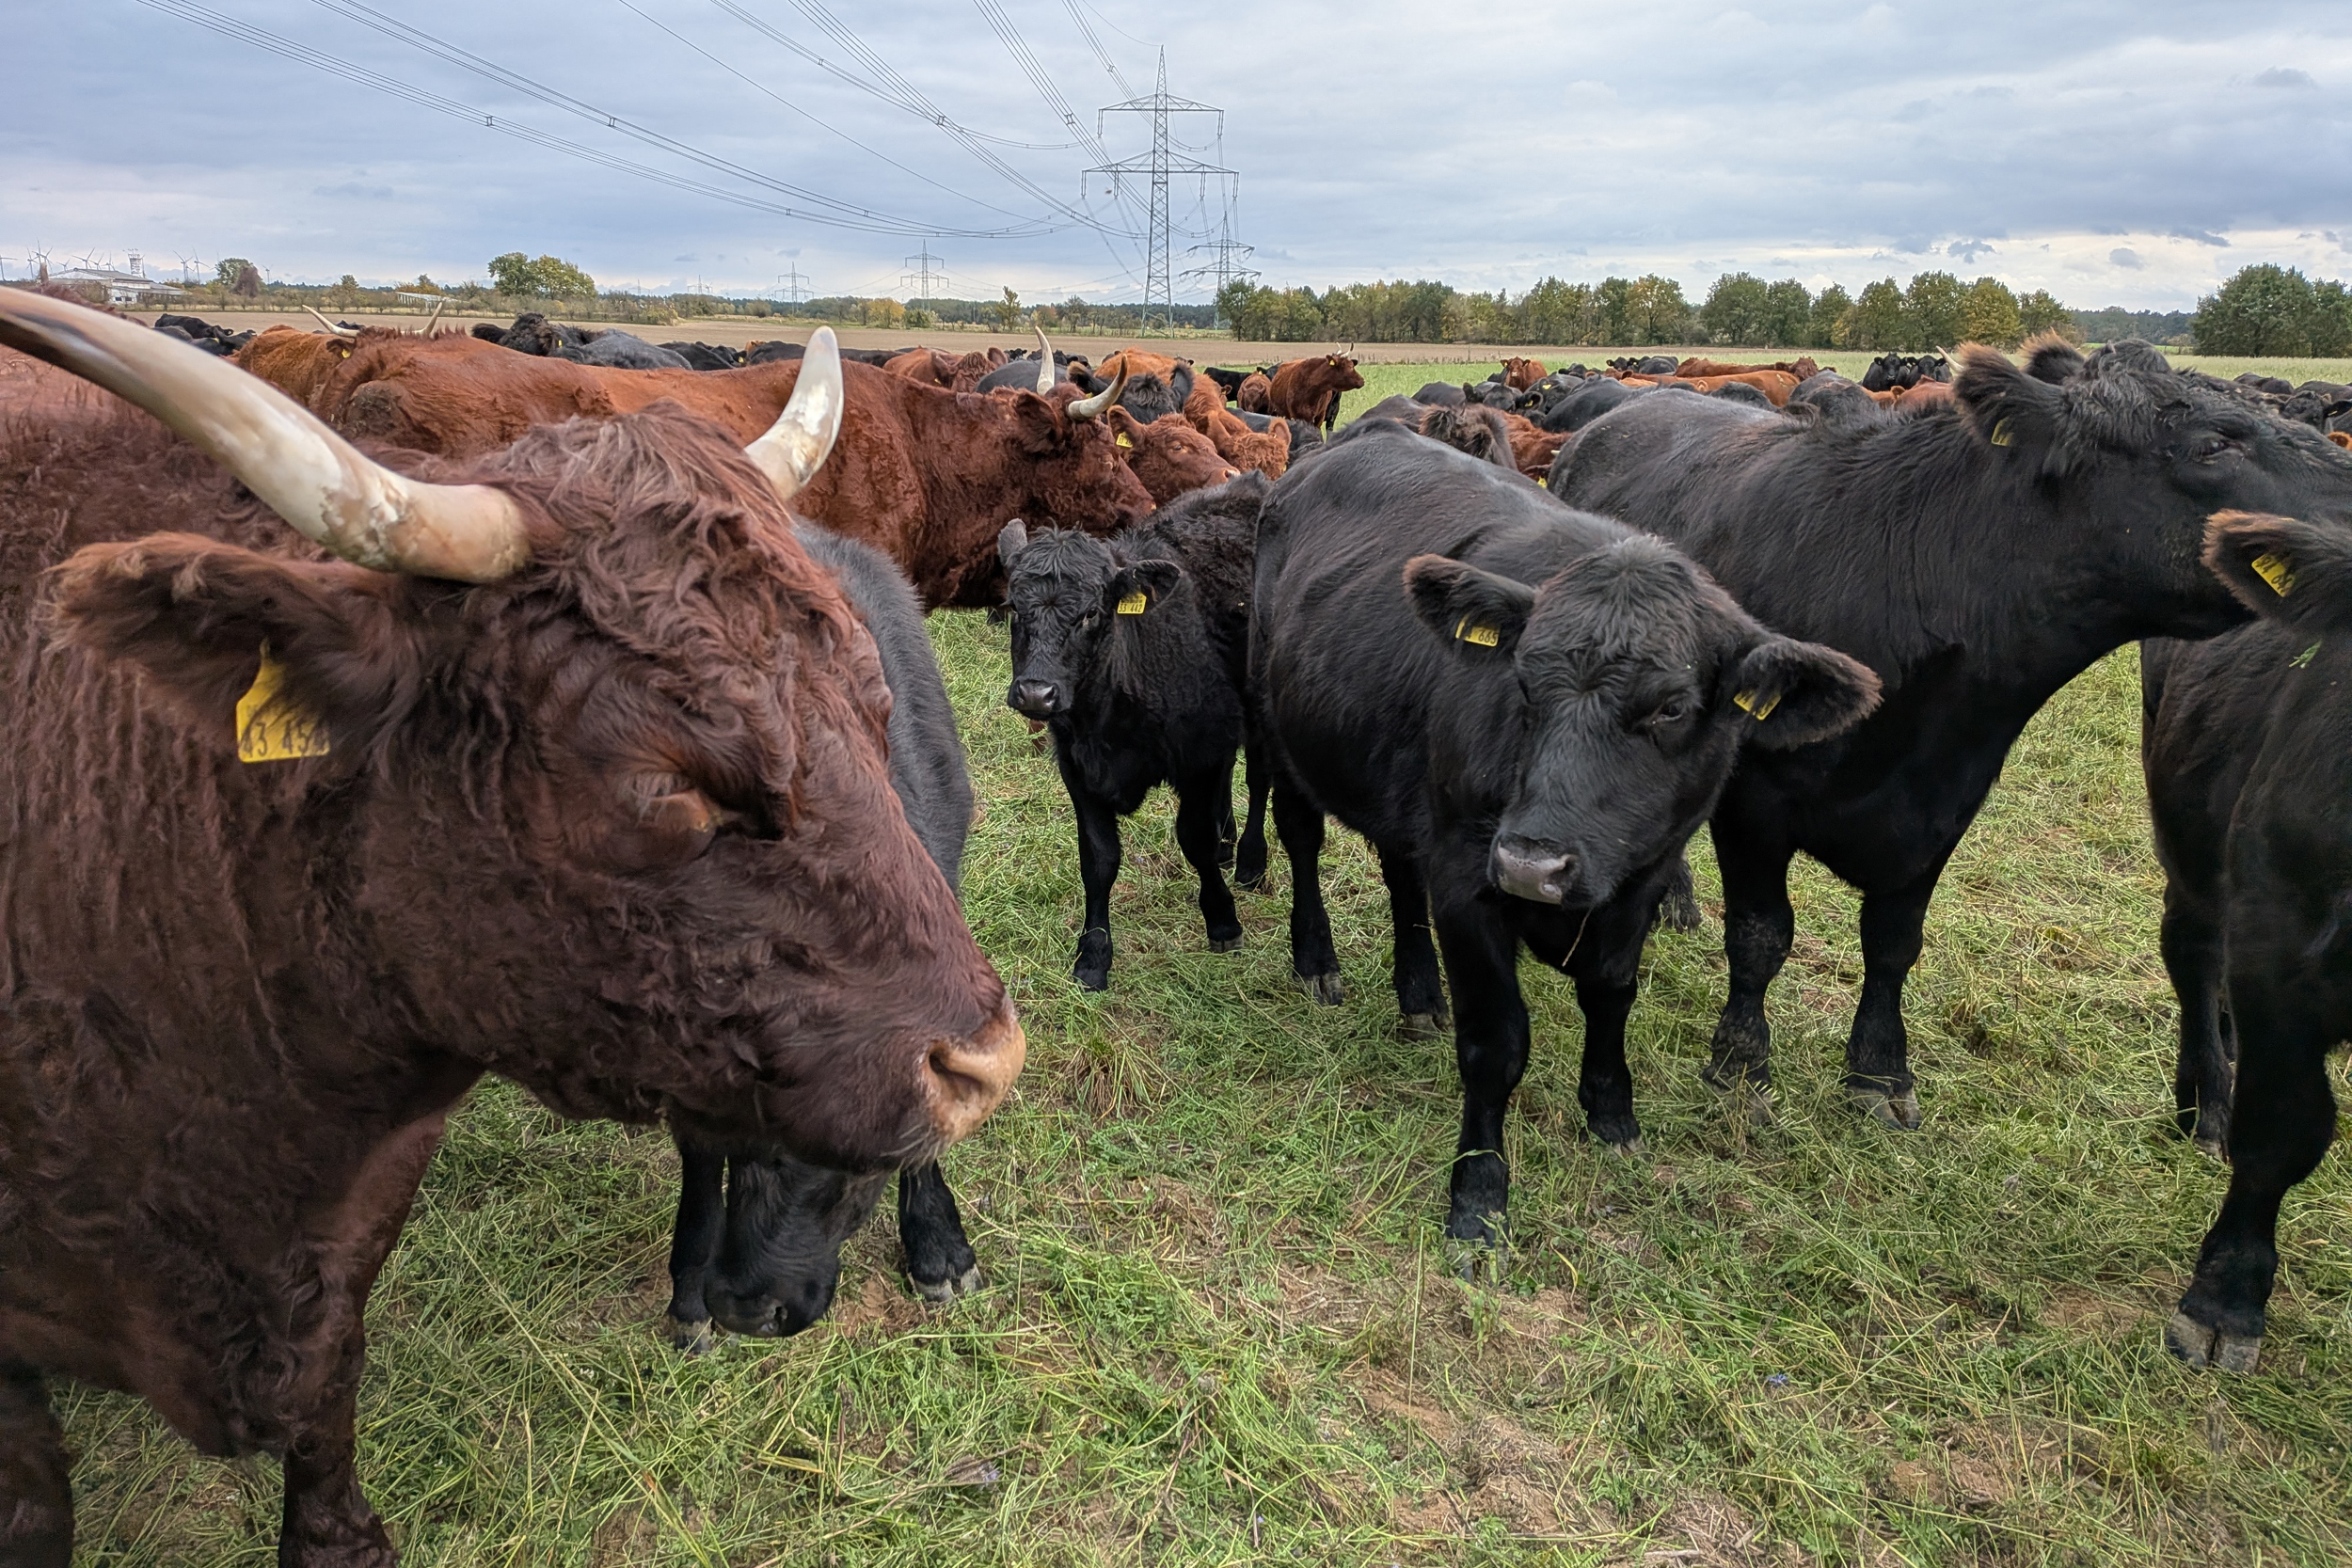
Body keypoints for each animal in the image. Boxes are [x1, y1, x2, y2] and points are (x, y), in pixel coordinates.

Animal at [998, 474, 1274, 990]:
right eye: (1013, 609)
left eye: (1090, 613)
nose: (1035, 693)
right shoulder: (1078, 770)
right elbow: (1099, 860)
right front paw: (1093, 955)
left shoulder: (1197, 757)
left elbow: (1193, 838)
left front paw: (1222, 920)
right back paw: (1228, 843)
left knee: (1259, 777)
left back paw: (1249, 859)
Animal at [1252, 422, 1878, 1249]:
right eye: (1521, 679)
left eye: (1672, 707)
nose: (1531, 862)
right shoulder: (1467, 876)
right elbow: (1497, 1043)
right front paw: (1478, 1195)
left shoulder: (1643, 874)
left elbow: (1611, 994)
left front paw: (1612, 1112)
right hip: (1278, 729)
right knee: (1301, 839)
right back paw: (1317, 961)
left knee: (1398, 873)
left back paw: (1420, 993)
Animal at [1549, 337, 2352, 1132]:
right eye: (2213, 442)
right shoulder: (1756, 802)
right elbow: (1760, 935)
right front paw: (1741, 1067)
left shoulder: (1946, 802)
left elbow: (1894, 943)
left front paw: (1879, 1072)